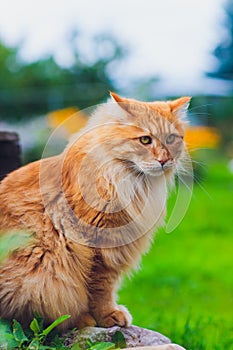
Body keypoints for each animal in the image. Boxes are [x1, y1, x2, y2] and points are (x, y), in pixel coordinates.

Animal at [0, 92, 189, 330]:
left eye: (171, 139)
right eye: (145, 140)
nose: (164, 160)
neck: (131, 182)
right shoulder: (99, 244)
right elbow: (99, 289)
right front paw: (107, 316)